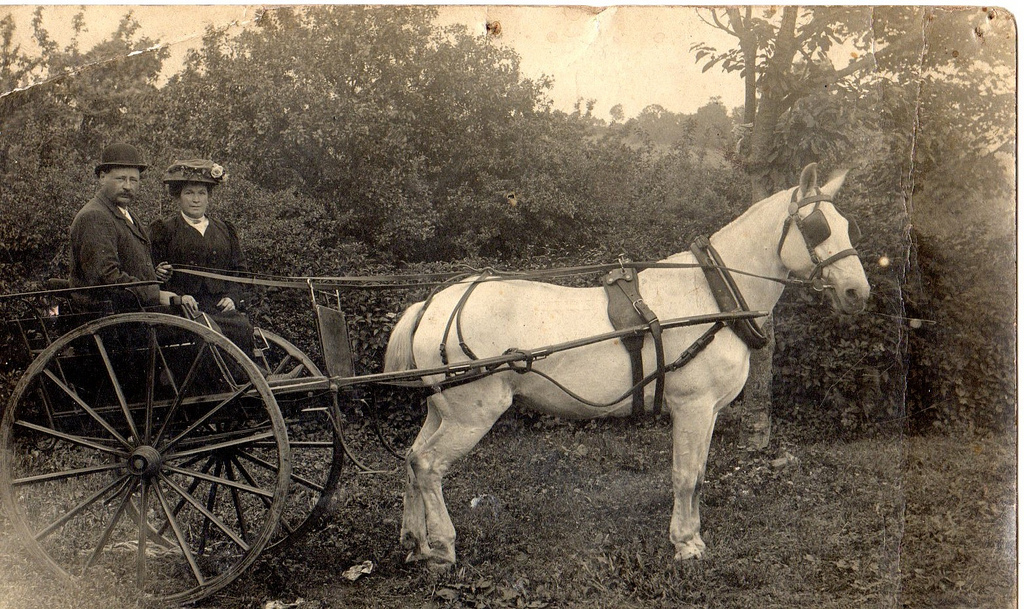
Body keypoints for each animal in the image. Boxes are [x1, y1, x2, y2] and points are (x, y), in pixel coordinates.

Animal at [383, 163, 870, 567]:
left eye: (847, 226)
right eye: (817, 227)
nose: (858, 293)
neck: (711, 295)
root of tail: (431, 306)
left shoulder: (708, 411)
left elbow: (699, 475)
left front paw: (692, 536)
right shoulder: (692, 407)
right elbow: (685, 477)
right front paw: (685, 545)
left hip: (443, 410)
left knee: (410, 460)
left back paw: (414, 541)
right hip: (472, 413)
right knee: (428, 465)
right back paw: (442, 547)